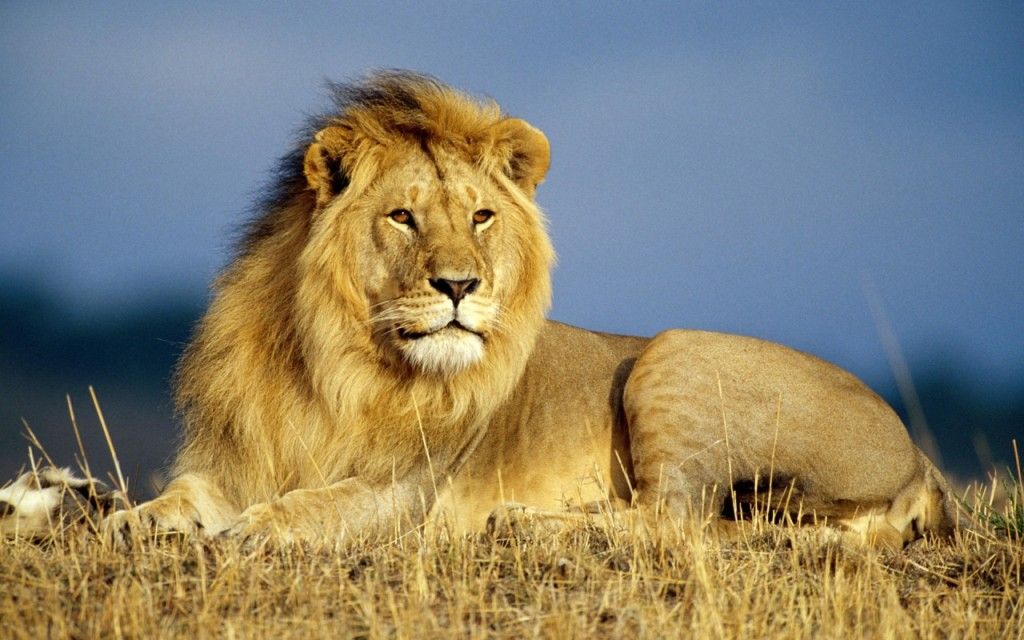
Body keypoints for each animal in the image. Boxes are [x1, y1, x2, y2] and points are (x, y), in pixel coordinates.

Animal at [75, 71, 959, 548]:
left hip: (673, 353)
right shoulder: (235, 458)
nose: (460, 286)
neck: (333, 363)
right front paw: (128, 521)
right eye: (403, 217)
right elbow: (184, 497)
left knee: (678, 521)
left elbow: (318, 503)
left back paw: (526, 523)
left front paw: (257, 528)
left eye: (480, 217)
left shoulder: (410, 489)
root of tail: (919, 458)